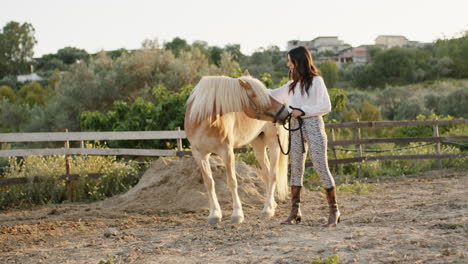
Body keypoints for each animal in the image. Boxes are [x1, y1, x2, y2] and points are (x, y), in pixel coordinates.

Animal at [186, 74, 288, 225]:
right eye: (256, 95)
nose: (286, 111)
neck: (205, 121)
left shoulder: (227, 152)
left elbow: (232, 182)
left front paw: (237, 214)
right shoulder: (200, 155)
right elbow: (209, 183)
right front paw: (214, 215)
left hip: (273, 144)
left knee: (273, 174)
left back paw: (267, 210)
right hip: (258, 145)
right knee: (266, 173)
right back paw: (272, 205)